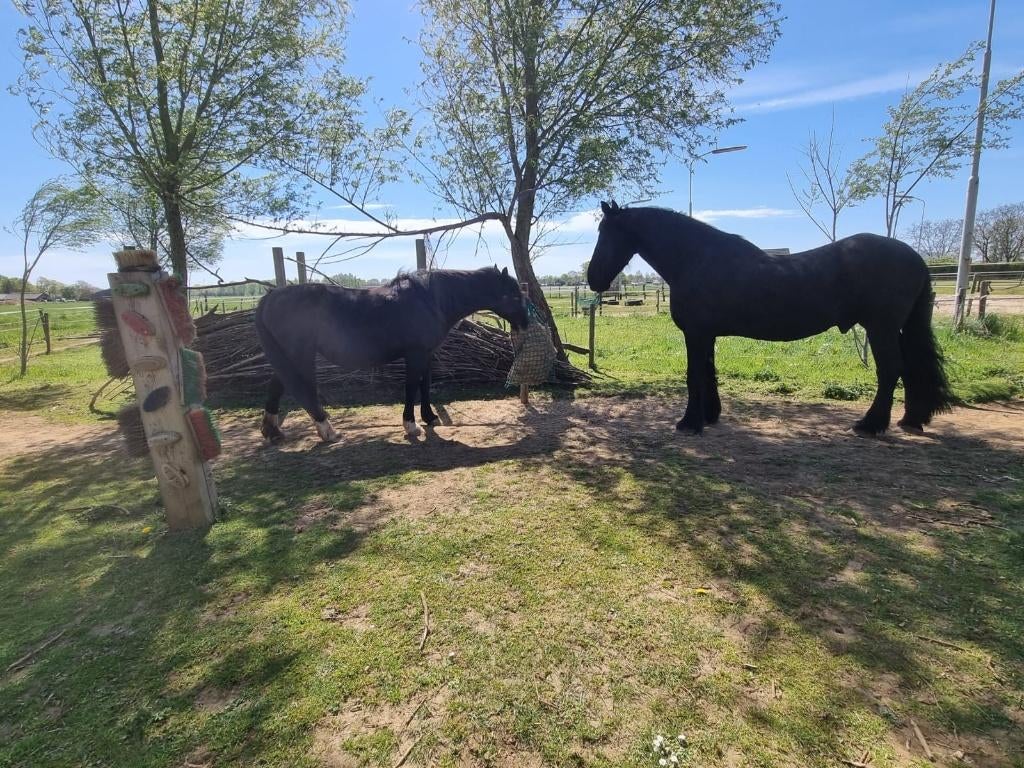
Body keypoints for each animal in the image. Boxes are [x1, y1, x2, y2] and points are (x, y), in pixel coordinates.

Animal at [254, 266, 528, 443]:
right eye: (514, 295)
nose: (525, 323)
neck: (430, 300)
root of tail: (270, 296)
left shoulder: (427, 354)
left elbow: (425, 385)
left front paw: (429, 417)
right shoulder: (415, 354)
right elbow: (411, 387)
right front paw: (411, 426)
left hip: (286, 356)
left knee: (276, 386)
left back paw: (272, 431)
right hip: (299, 355)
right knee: (303, 390)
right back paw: (327, 431)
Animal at [587, 201, 955, 436]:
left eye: (608, 233)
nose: (593, 279)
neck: (695, 259)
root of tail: (915, 258)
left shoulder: (696, 333)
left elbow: (694, 376)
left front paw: (690, 423)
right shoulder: (707, 335)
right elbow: (708, 373)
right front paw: (710, 415)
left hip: (881, 328)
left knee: (891, 370)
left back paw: (870, 424)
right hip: (895, 328)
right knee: (909, 369)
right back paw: (910, 420)